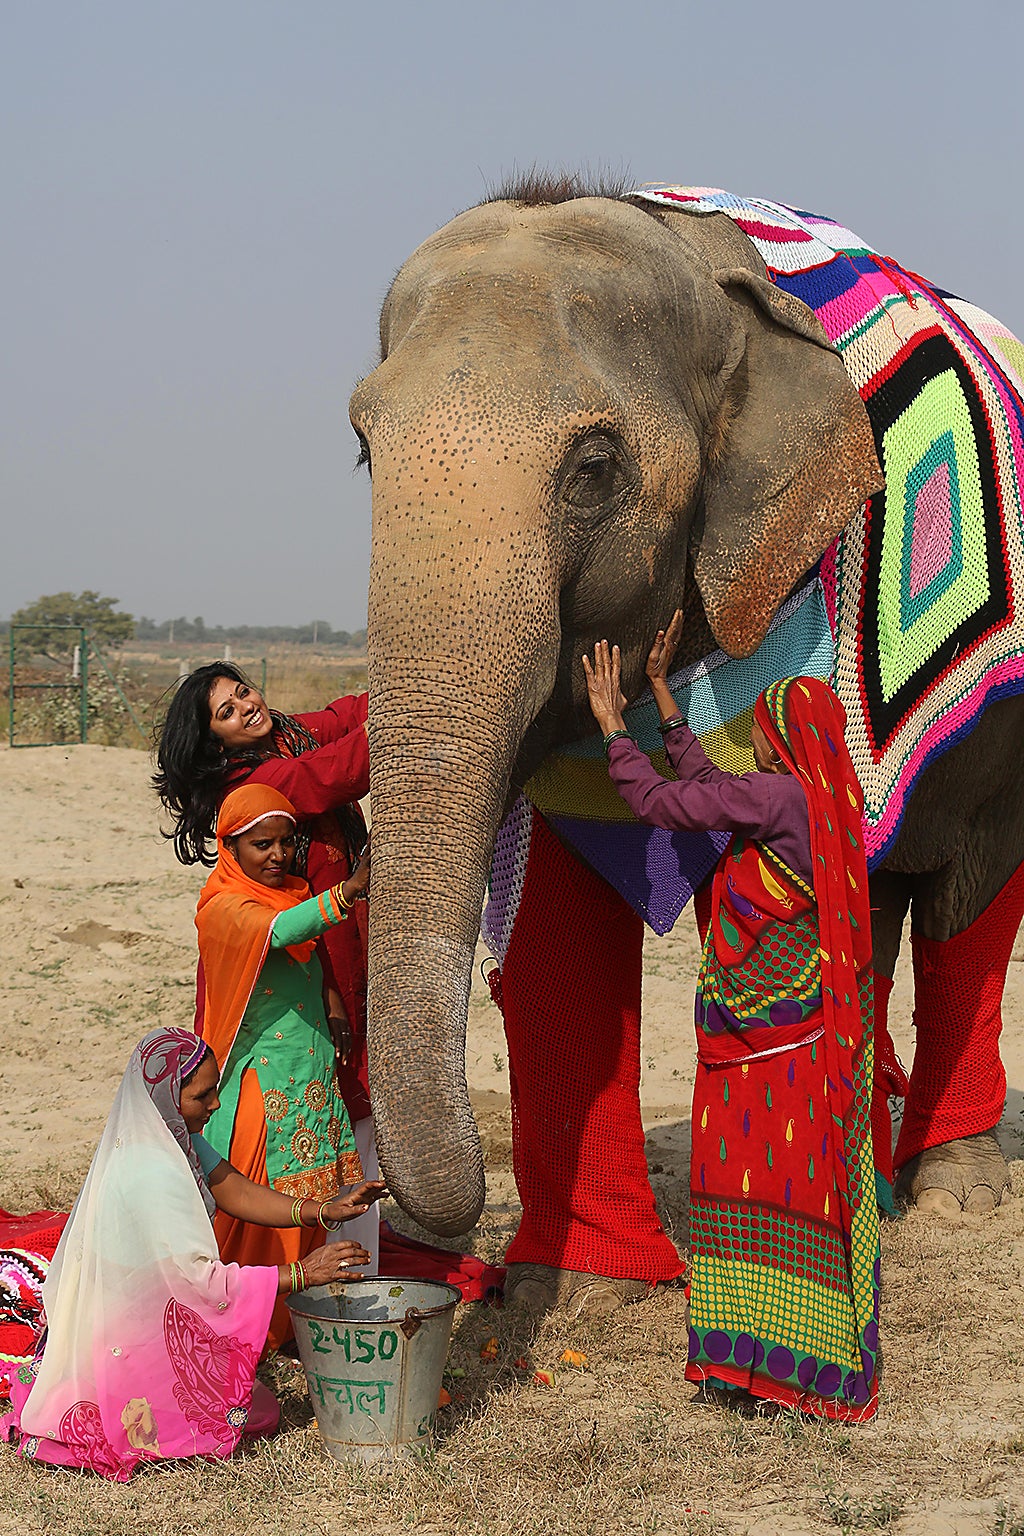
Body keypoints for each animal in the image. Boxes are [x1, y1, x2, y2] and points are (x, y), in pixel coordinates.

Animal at [353, 179, 1024, 1308]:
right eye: (362, 447)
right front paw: (578, 1288)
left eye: (592, 468)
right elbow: (552, 923)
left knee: (969, 894)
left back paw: (951, 1198)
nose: (443, 1245)